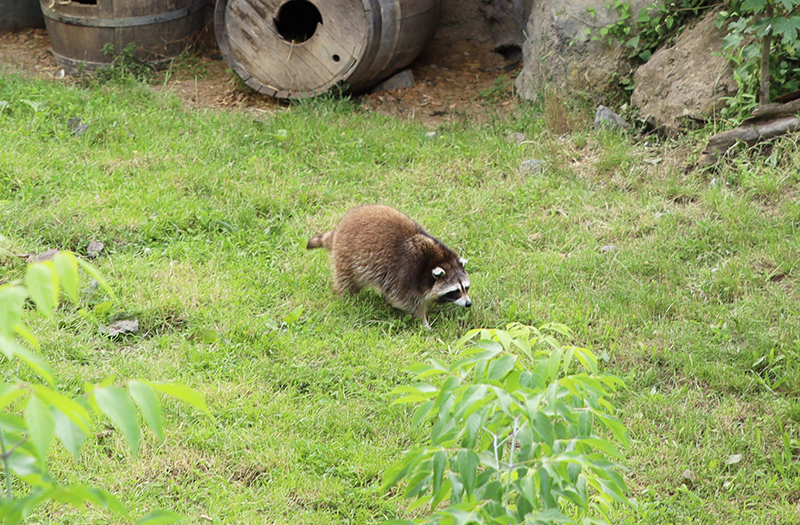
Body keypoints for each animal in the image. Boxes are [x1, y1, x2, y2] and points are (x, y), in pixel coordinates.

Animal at [304, 205, 468, 328]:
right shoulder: (405, 272)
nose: (468, 303)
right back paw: (347, 295)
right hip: (346, 256)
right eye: (455, 291)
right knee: (346, 280)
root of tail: (339, 229)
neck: (436, 260)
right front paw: (423, 320)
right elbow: (406, 301)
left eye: (466, 288)